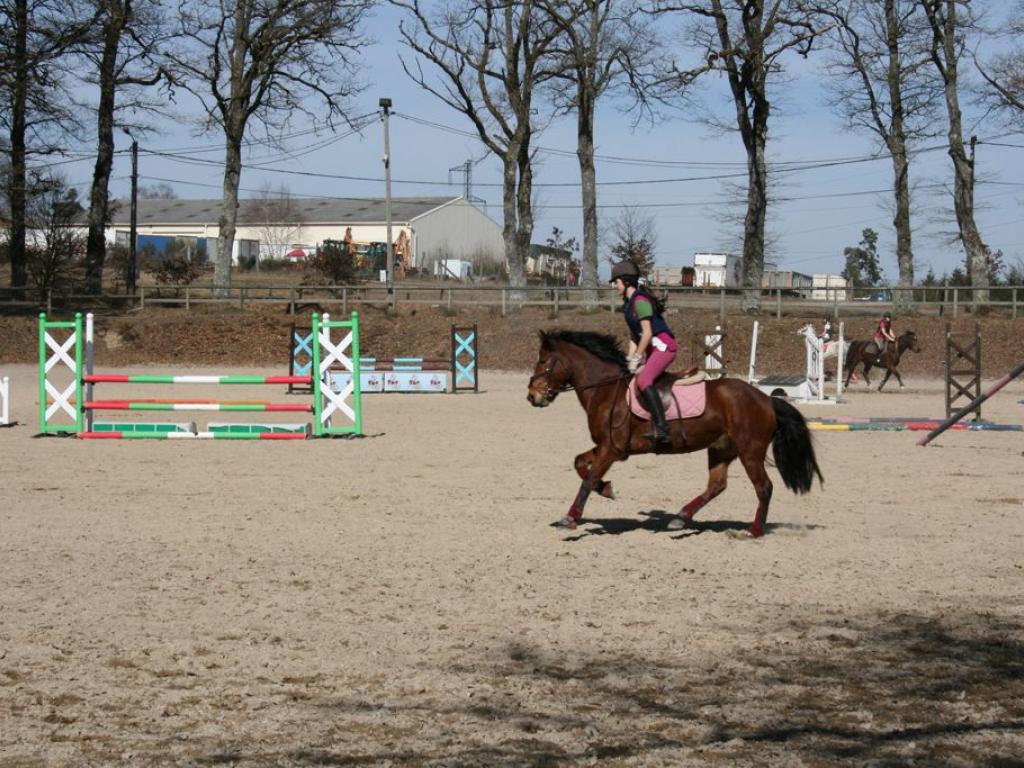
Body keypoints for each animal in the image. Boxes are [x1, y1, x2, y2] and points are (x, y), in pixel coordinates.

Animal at [528, 331, 823, 540]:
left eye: (543, 361)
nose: (532, 396)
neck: (606, 389)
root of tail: (766, 399)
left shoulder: (611, 449)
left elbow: (588, 479)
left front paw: (570, 518)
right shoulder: (606, 447)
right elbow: (579, 464)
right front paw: (608, 489)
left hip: (750, 450)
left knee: (764, 487)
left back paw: (753, 531)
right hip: (721, 448)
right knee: (717, 485)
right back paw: (680, 518)